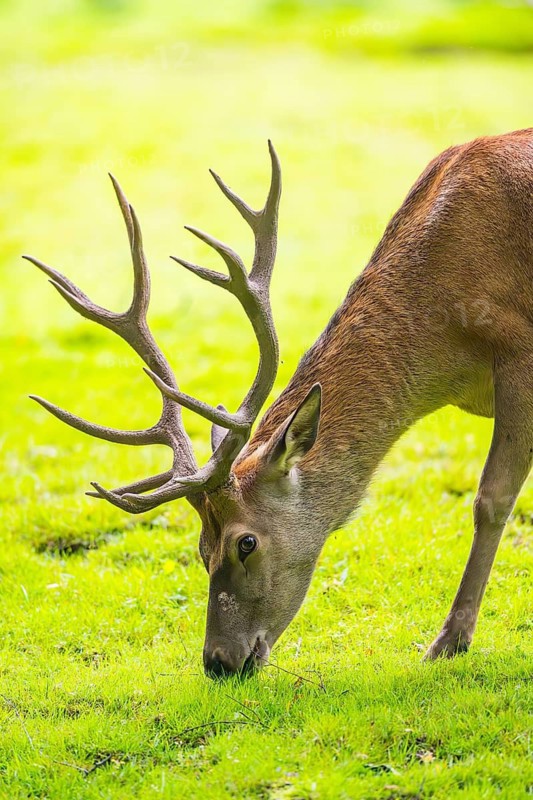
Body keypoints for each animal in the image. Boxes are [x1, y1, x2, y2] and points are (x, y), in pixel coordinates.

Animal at [25, 129, 533, 677]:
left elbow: (492, 499)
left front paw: (448, 642)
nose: (218, 661)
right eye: (201, 547)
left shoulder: (520, 354)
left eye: (245, 542)